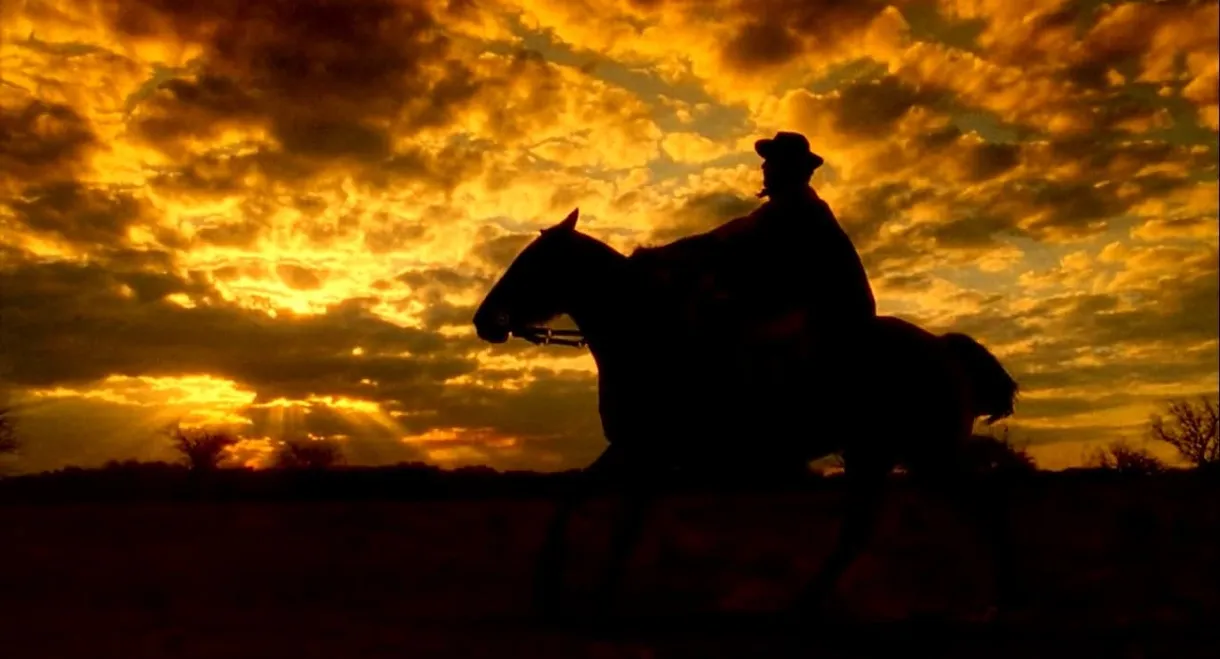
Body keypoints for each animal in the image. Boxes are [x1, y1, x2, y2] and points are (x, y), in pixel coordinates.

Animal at [470, 209, 1024, 617]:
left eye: (531, 264)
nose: (484, 321)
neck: (647, 338)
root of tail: (945, 349)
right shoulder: (630, 448)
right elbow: (572, 499)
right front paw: (548, 583)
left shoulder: (649, 455)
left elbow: (624, 527)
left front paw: (599, 598)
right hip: (876, 456)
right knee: (858, 532)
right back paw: (804, 605)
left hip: (928, 455)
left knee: (983, 511)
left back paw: (1001, 603)